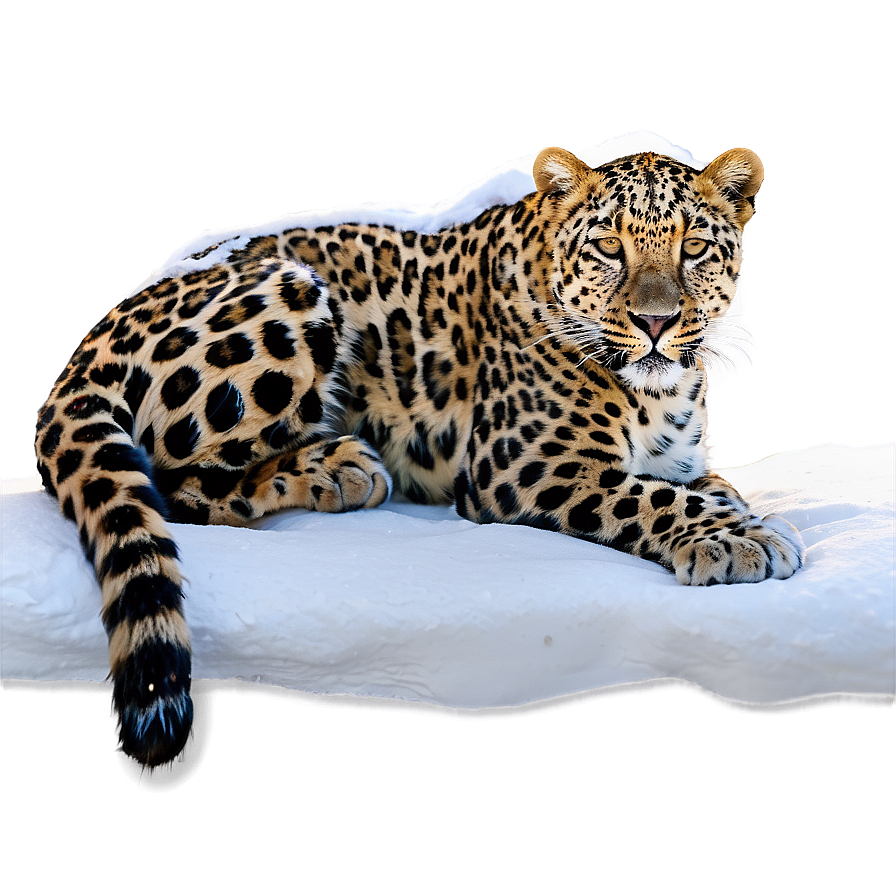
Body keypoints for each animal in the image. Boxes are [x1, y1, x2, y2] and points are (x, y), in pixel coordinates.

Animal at [35, 145, 805, 767]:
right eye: (610, 248)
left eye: (694, 248)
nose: (656, 322)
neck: (662, 391)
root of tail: (91, 342)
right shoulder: (525, 466)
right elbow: (652, 496)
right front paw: (742, 540)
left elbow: (703, 482)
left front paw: (737, 513)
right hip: (289, 292)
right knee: (174, 479)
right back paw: (338, 468)